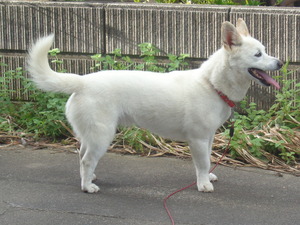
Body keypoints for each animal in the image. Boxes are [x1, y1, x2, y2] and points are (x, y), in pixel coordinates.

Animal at [27, 18, 282, 192]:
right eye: (258, 54)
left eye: (265, 51)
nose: (280, 63)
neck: (211, 83)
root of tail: (82, 81)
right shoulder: (198, 140)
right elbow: (202, 163)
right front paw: (203, 184)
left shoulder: (208, 138)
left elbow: (207, 161)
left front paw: (207, 177)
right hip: (103, 135)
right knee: (87, 159)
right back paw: (87, 187)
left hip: (91, 135)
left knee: (82, 156)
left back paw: (89, 178)